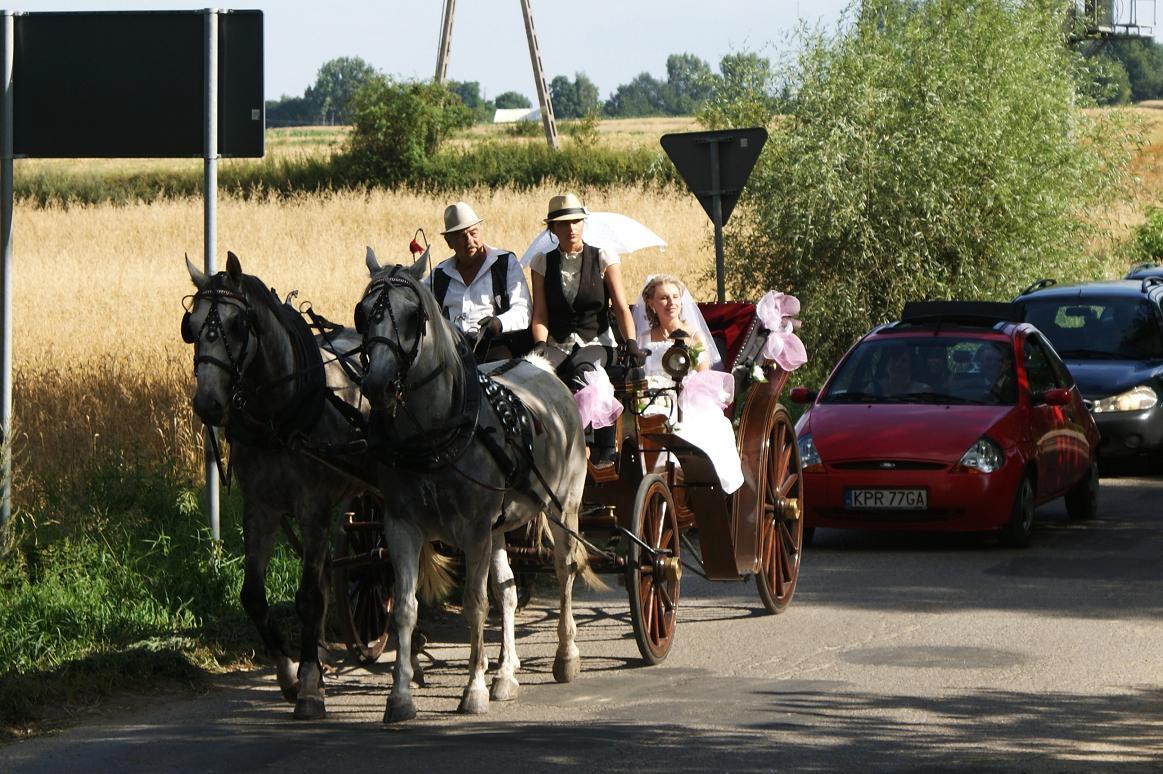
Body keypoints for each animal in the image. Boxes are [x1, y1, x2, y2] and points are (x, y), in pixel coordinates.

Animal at [183, 252, 369, 715]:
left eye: (236, 326)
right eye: (190, 326)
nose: (208, 404)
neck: (279, 414)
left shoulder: (313, 506)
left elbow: (308, 597)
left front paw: (308, 686)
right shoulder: (261, 507)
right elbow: (253, 595)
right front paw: (290, 673)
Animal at [353, 249, 590, 720]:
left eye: (414, 316)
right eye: (363, 313)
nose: (378, 384)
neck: (434, 434)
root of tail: (541, 367)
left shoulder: (474, 530)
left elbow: (475, 605)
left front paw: (473, 689)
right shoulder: (401, 526)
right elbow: (405, 609)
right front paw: (400, 696)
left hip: (562, 507)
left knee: (564, 568)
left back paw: (565, 656)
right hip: (499, 527)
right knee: (508, 590)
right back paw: (506, 673)